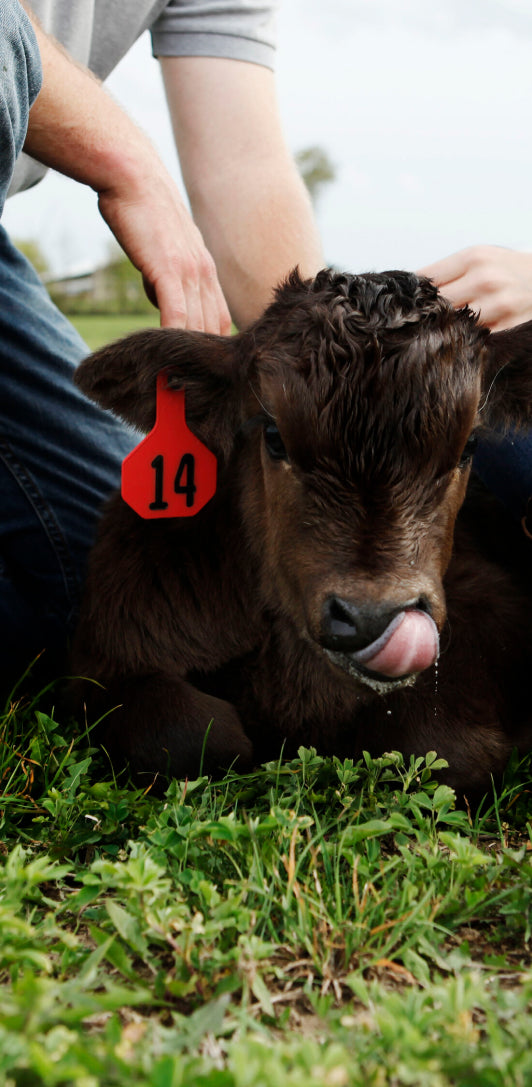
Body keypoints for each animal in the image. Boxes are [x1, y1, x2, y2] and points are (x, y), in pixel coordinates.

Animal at [71, 269, 530, 800]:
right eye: (274, 436)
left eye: (468, 446)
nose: (372, 617)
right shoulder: (103, 661)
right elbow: (194, 736)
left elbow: (438, 747)